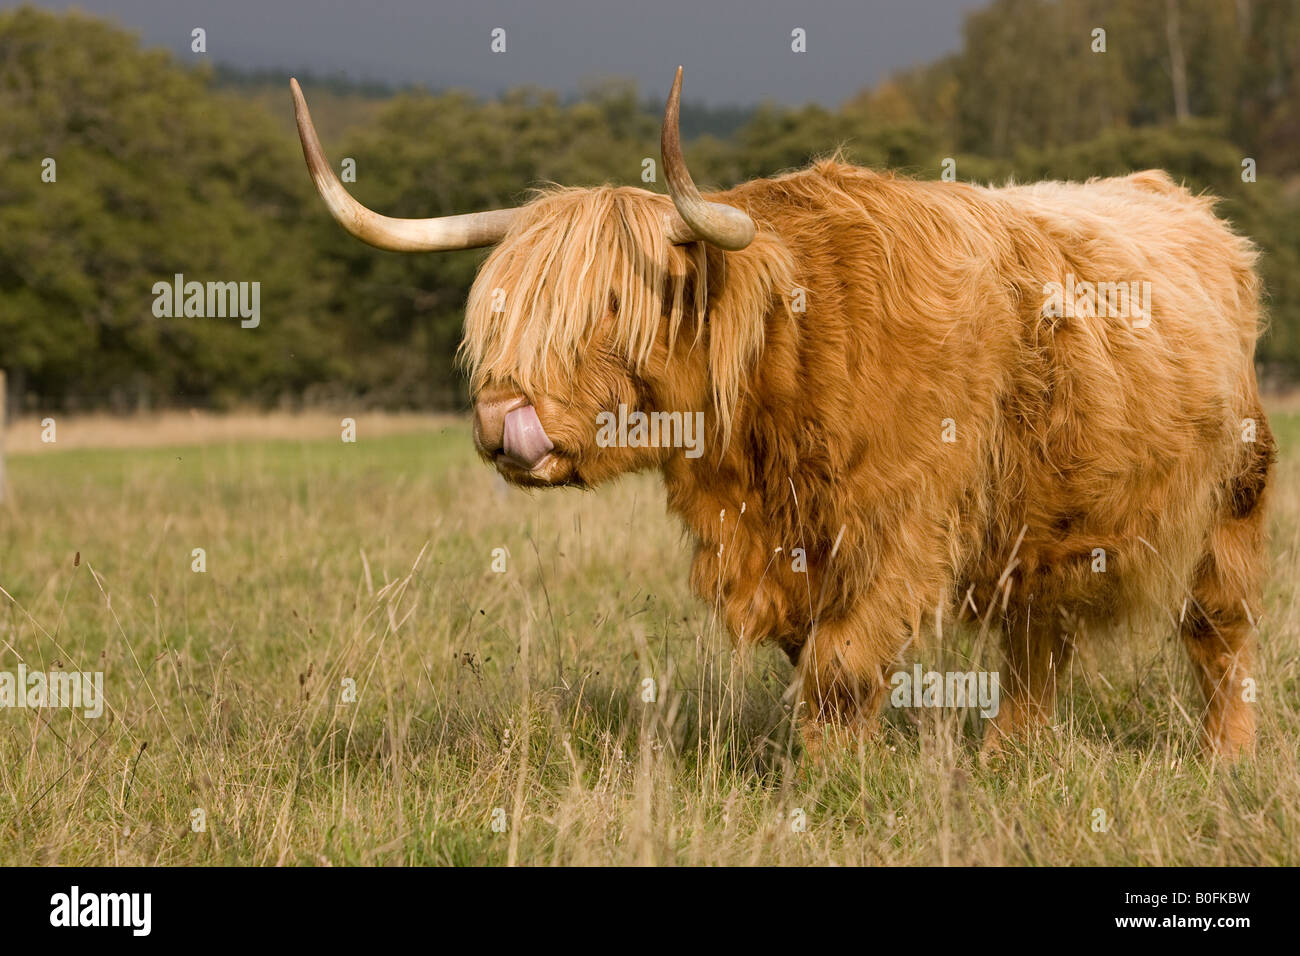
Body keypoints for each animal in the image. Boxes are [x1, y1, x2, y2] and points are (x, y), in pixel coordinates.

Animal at [291, 68, 1275, 760]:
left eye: (613, 305)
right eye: (500, 315)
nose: (502, 420)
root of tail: (1192, 208)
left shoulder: (900, 525)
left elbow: (842, 664)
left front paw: (836, 780)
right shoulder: (776, 548)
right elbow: (815, 659)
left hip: (1235, 494)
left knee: (1219, 630)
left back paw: (1223, 760)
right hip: (1049, 519)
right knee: (1040, 641)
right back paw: (1007, 758)